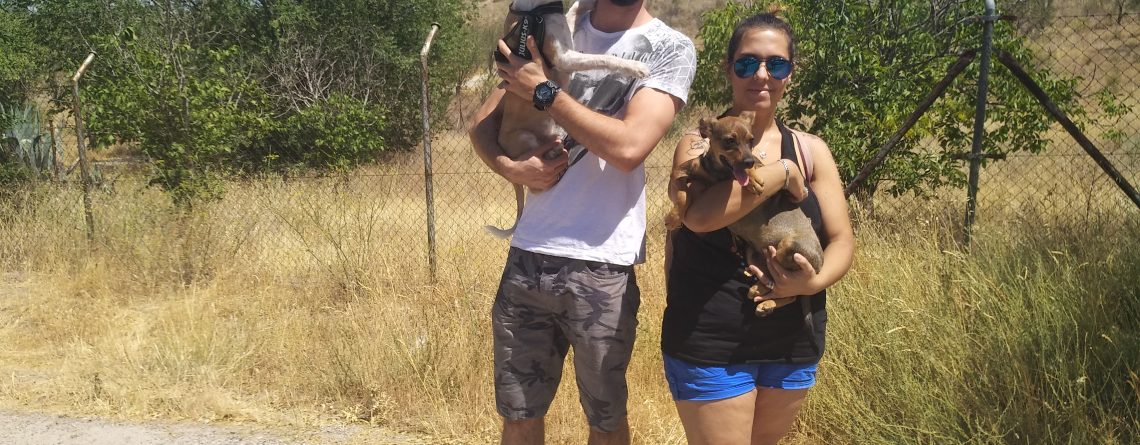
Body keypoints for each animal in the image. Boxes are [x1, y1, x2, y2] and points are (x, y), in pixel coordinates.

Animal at [486, 0, 650, 238]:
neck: (537, 10)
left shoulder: (566, 33)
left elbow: (572, 11)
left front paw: (586, 4)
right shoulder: (563, 57)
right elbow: (603, 58)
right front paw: (635, 67)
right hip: (525, 139)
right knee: (536, 181)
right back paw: (554, 153)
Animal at [667, 112, 824, 317]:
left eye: (751, 140)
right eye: (730, 140)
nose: (748, 162)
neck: (720, 174)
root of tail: (819, 266)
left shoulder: (759, 165)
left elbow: (755, 169)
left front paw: (752, 177)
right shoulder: (680, 172)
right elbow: (682, 194)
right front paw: (673, 218)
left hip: (787, 248)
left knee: (788, 289)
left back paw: (764, 298)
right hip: (753, 253)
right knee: (780, 287)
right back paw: (762, 296)